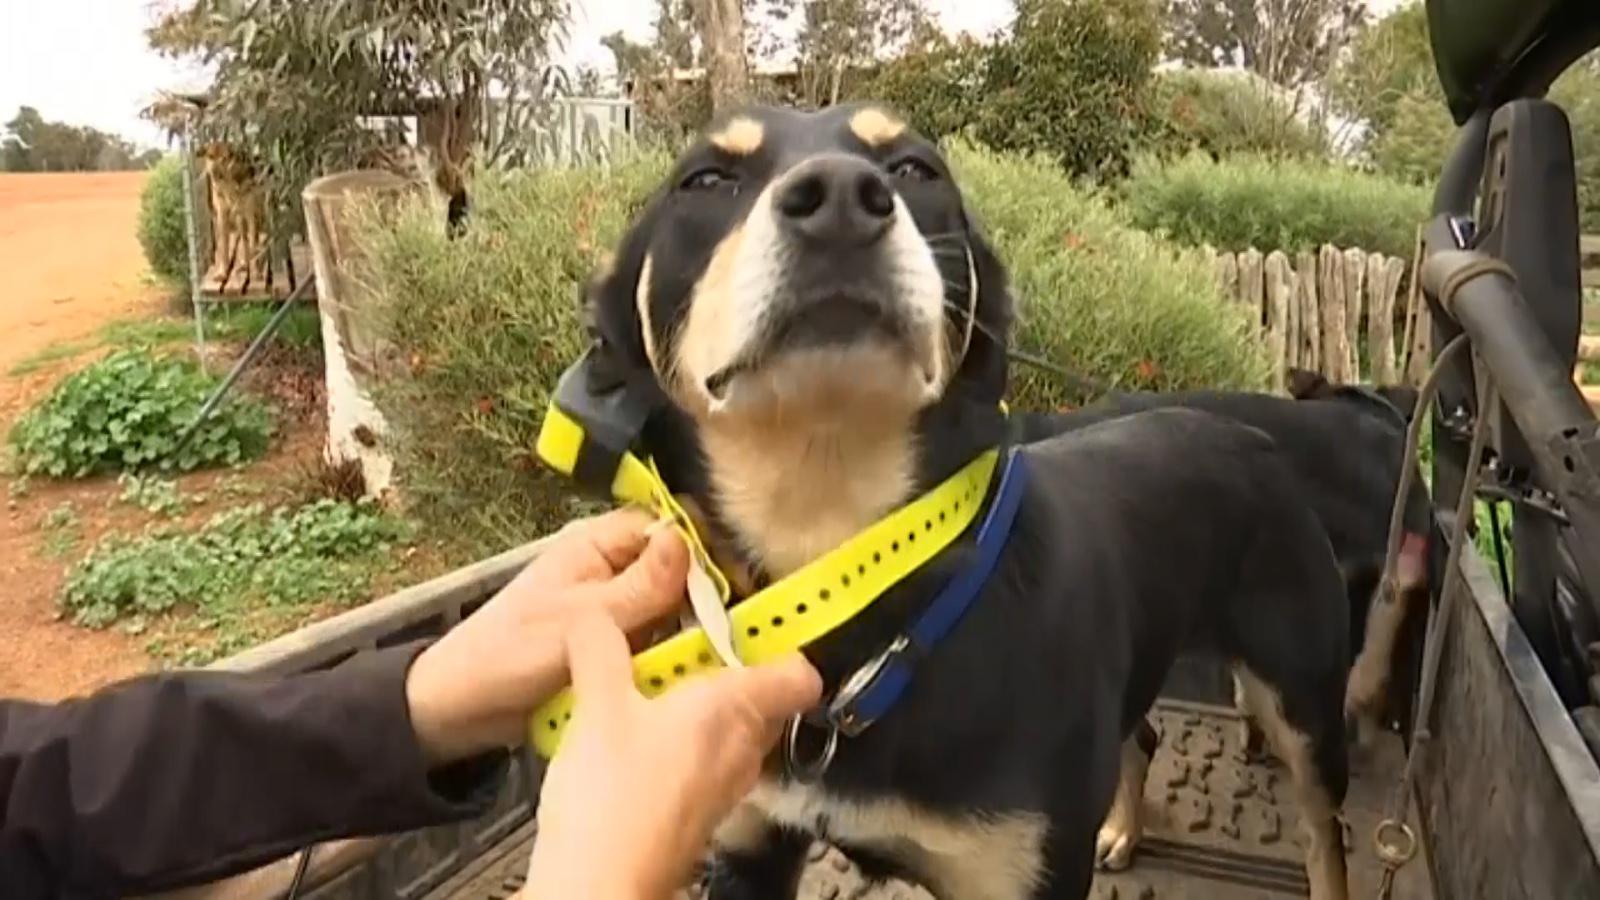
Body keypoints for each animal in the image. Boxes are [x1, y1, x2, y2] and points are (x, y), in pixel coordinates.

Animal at [576, 106, 1350, 896]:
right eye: (704, 180)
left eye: (916, 169)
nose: (840, 200)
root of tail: (1253, 434)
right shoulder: (749, 843)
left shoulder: (1018, 870)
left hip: (1305, 699)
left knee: (1326, 830)